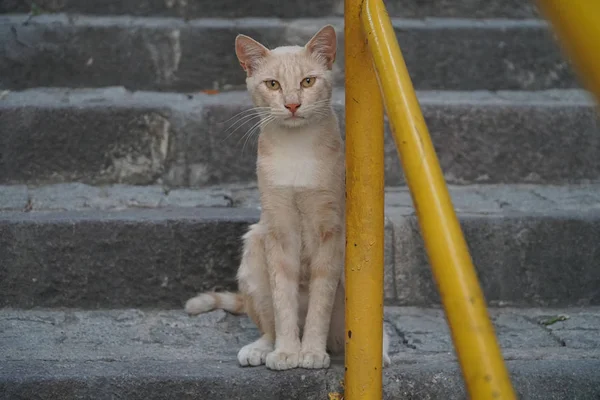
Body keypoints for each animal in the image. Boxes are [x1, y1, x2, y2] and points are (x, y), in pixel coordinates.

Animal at [185, 25, 392, 370]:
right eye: (273, 84)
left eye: (307, 82)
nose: (293, 104)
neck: (297, 151)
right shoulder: (279, 230)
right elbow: (283, 300)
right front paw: (286, 352)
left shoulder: (330, 231)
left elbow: (320, 303)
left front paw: (311, 352)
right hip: (255, 248)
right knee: (267, 324)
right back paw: (260, 348)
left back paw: (376, 354)